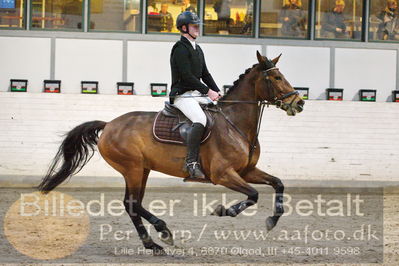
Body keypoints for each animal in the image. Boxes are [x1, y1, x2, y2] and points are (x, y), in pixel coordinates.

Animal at [39, 51, 304, 254]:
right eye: (277, 77)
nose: (299, 103)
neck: (234, 123)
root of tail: (109, 124)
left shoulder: (247, 170)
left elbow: (278, 183)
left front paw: (272, 220)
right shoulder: (223, 174)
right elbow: (253, 195)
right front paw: (224, 210)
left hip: (142, 170)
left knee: (132, 204)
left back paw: (154, 242)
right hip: (133, 168)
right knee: (132, 203)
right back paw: (161, 233)